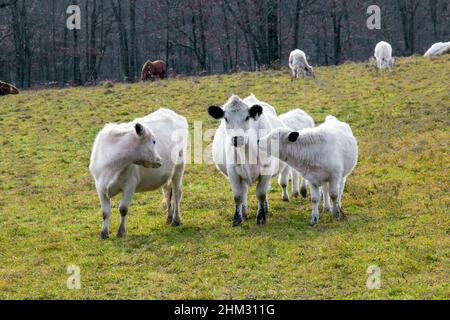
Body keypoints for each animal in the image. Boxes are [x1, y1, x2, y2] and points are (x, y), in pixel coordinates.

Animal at [89, 109, 188, 239]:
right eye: (153, 141)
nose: (160, 160)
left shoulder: (130, 184)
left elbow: (123, 209)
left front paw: (121, 231)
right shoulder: (100, 186)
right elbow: (105, 212)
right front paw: (104, 233)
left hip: (179, 167)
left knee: (177, 193)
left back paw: (176, 220)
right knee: (167, 192)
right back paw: (169, 217)